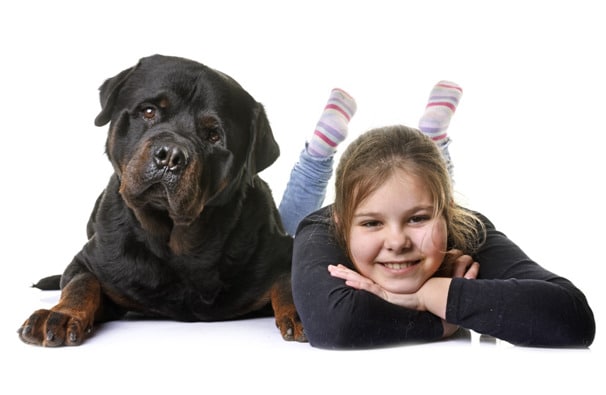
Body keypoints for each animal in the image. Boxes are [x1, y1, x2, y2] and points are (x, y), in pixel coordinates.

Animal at [18, 53, 306, 346]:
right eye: (148, 111)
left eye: (213, 136)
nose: (171, 156)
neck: (177, 248)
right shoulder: (90, 262)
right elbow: (81, 283)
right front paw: (63, 313)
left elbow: (289, 281)